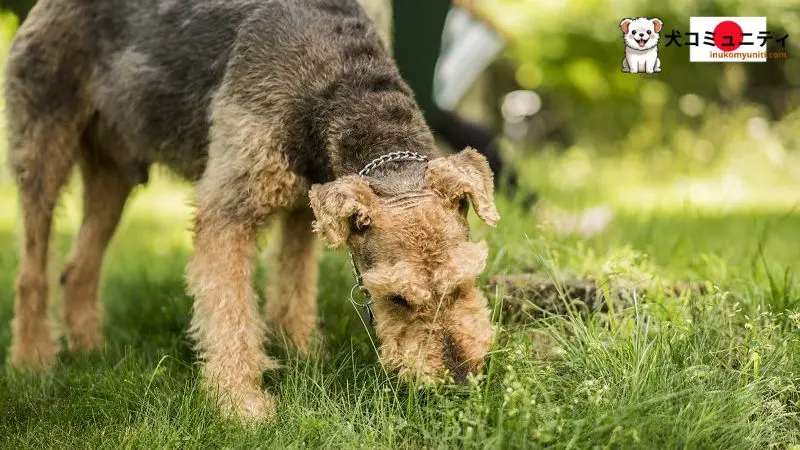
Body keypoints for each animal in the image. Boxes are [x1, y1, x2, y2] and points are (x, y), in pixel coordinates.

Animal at [3, 0, 496, 422]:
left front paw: (303, 353)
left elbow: (294, 287)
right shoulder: (227, 210)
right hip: (44, 150)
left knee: (78, 268)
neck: (335, 78)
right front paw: (243, 406)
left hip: (114, 174)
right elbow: (231, 314)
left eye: (464, 281)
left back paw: (90, 349)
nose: (460, 381)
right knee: (32, 272)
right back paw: (33, 360)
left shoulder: (305, 206)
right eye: (396, 298)